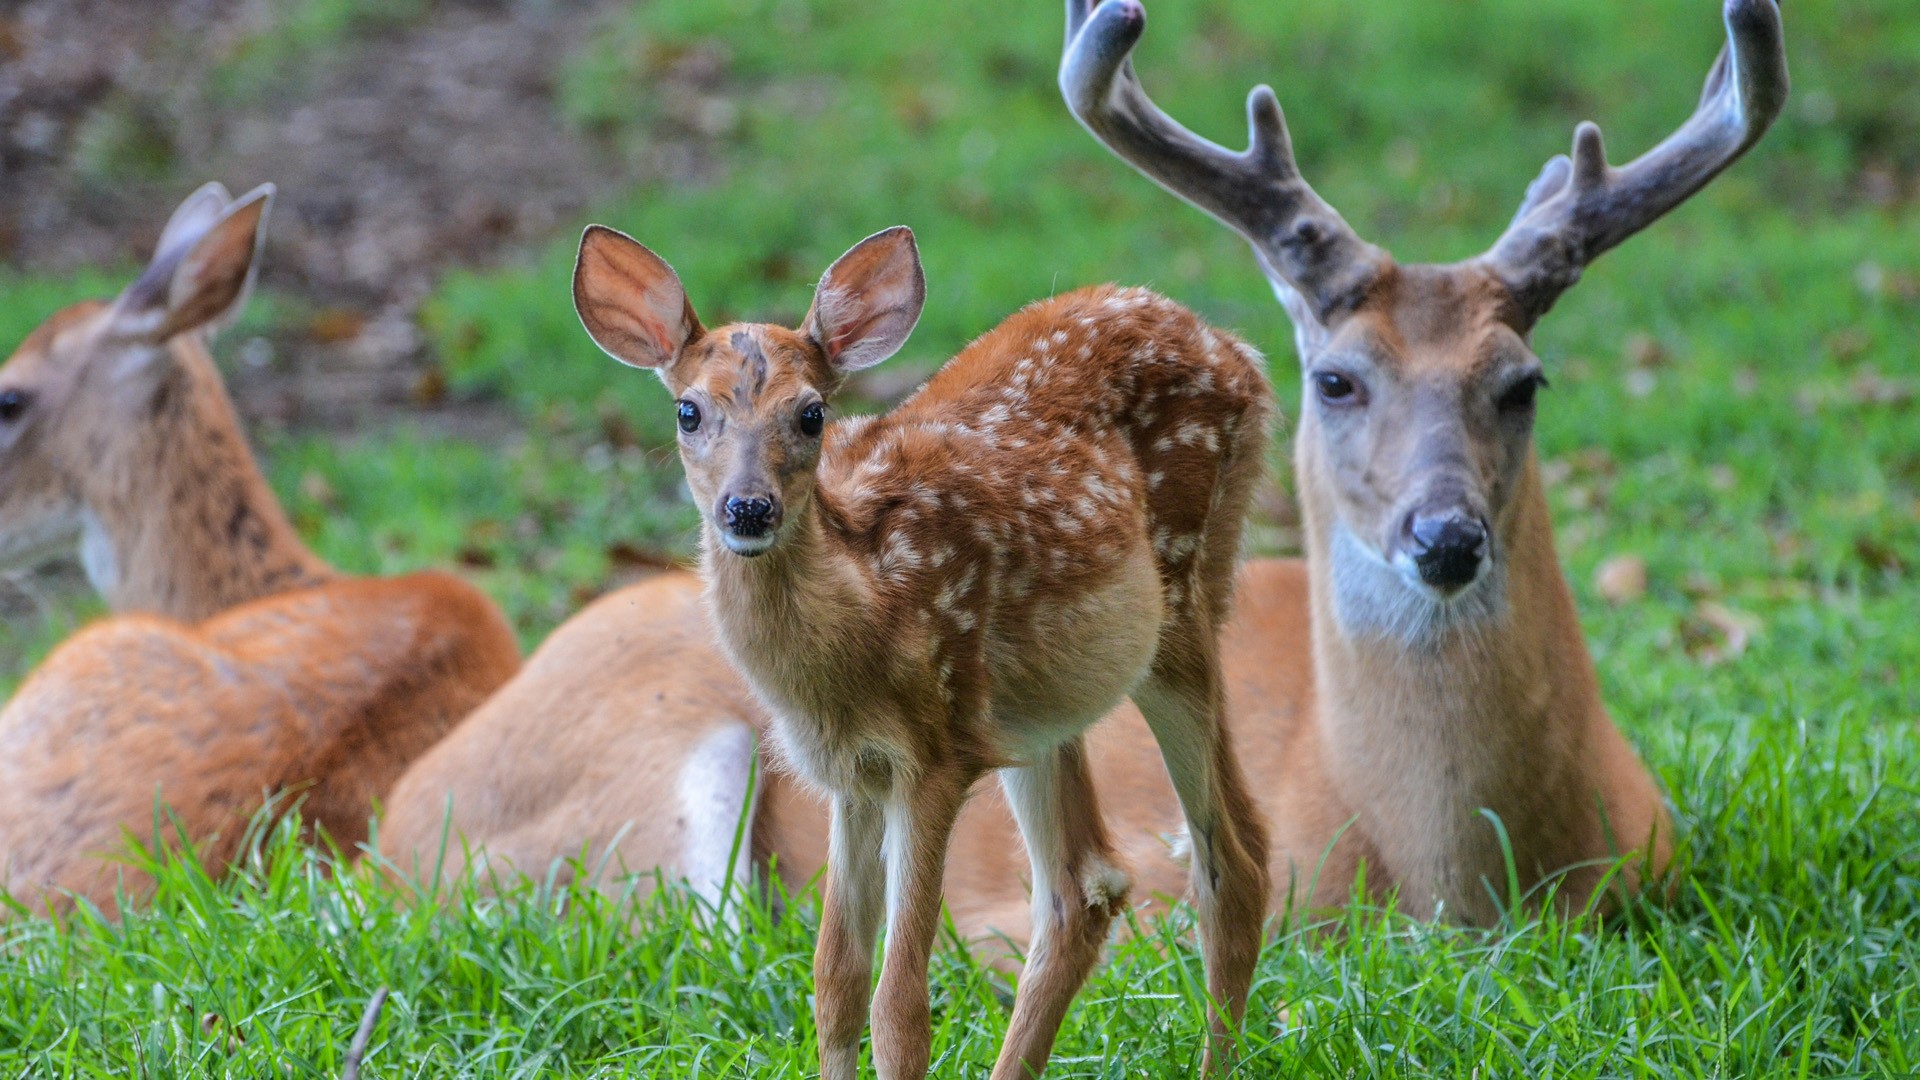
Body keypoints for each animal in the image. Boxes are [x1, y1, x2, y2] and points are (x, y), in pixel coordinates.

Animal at [570, 224, 1274, 1078]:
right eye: (687, 411)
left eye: (812, 414)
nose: (748, 507)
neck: (869, 608)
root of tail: (1236, 349)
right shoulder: (852, 775)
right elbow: (835, 982)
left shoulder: (936, 755)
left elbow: (899, 1005)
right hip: (1039, 704)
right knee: (1084, 886)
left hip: (1179, 603)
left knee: (1232, 861)